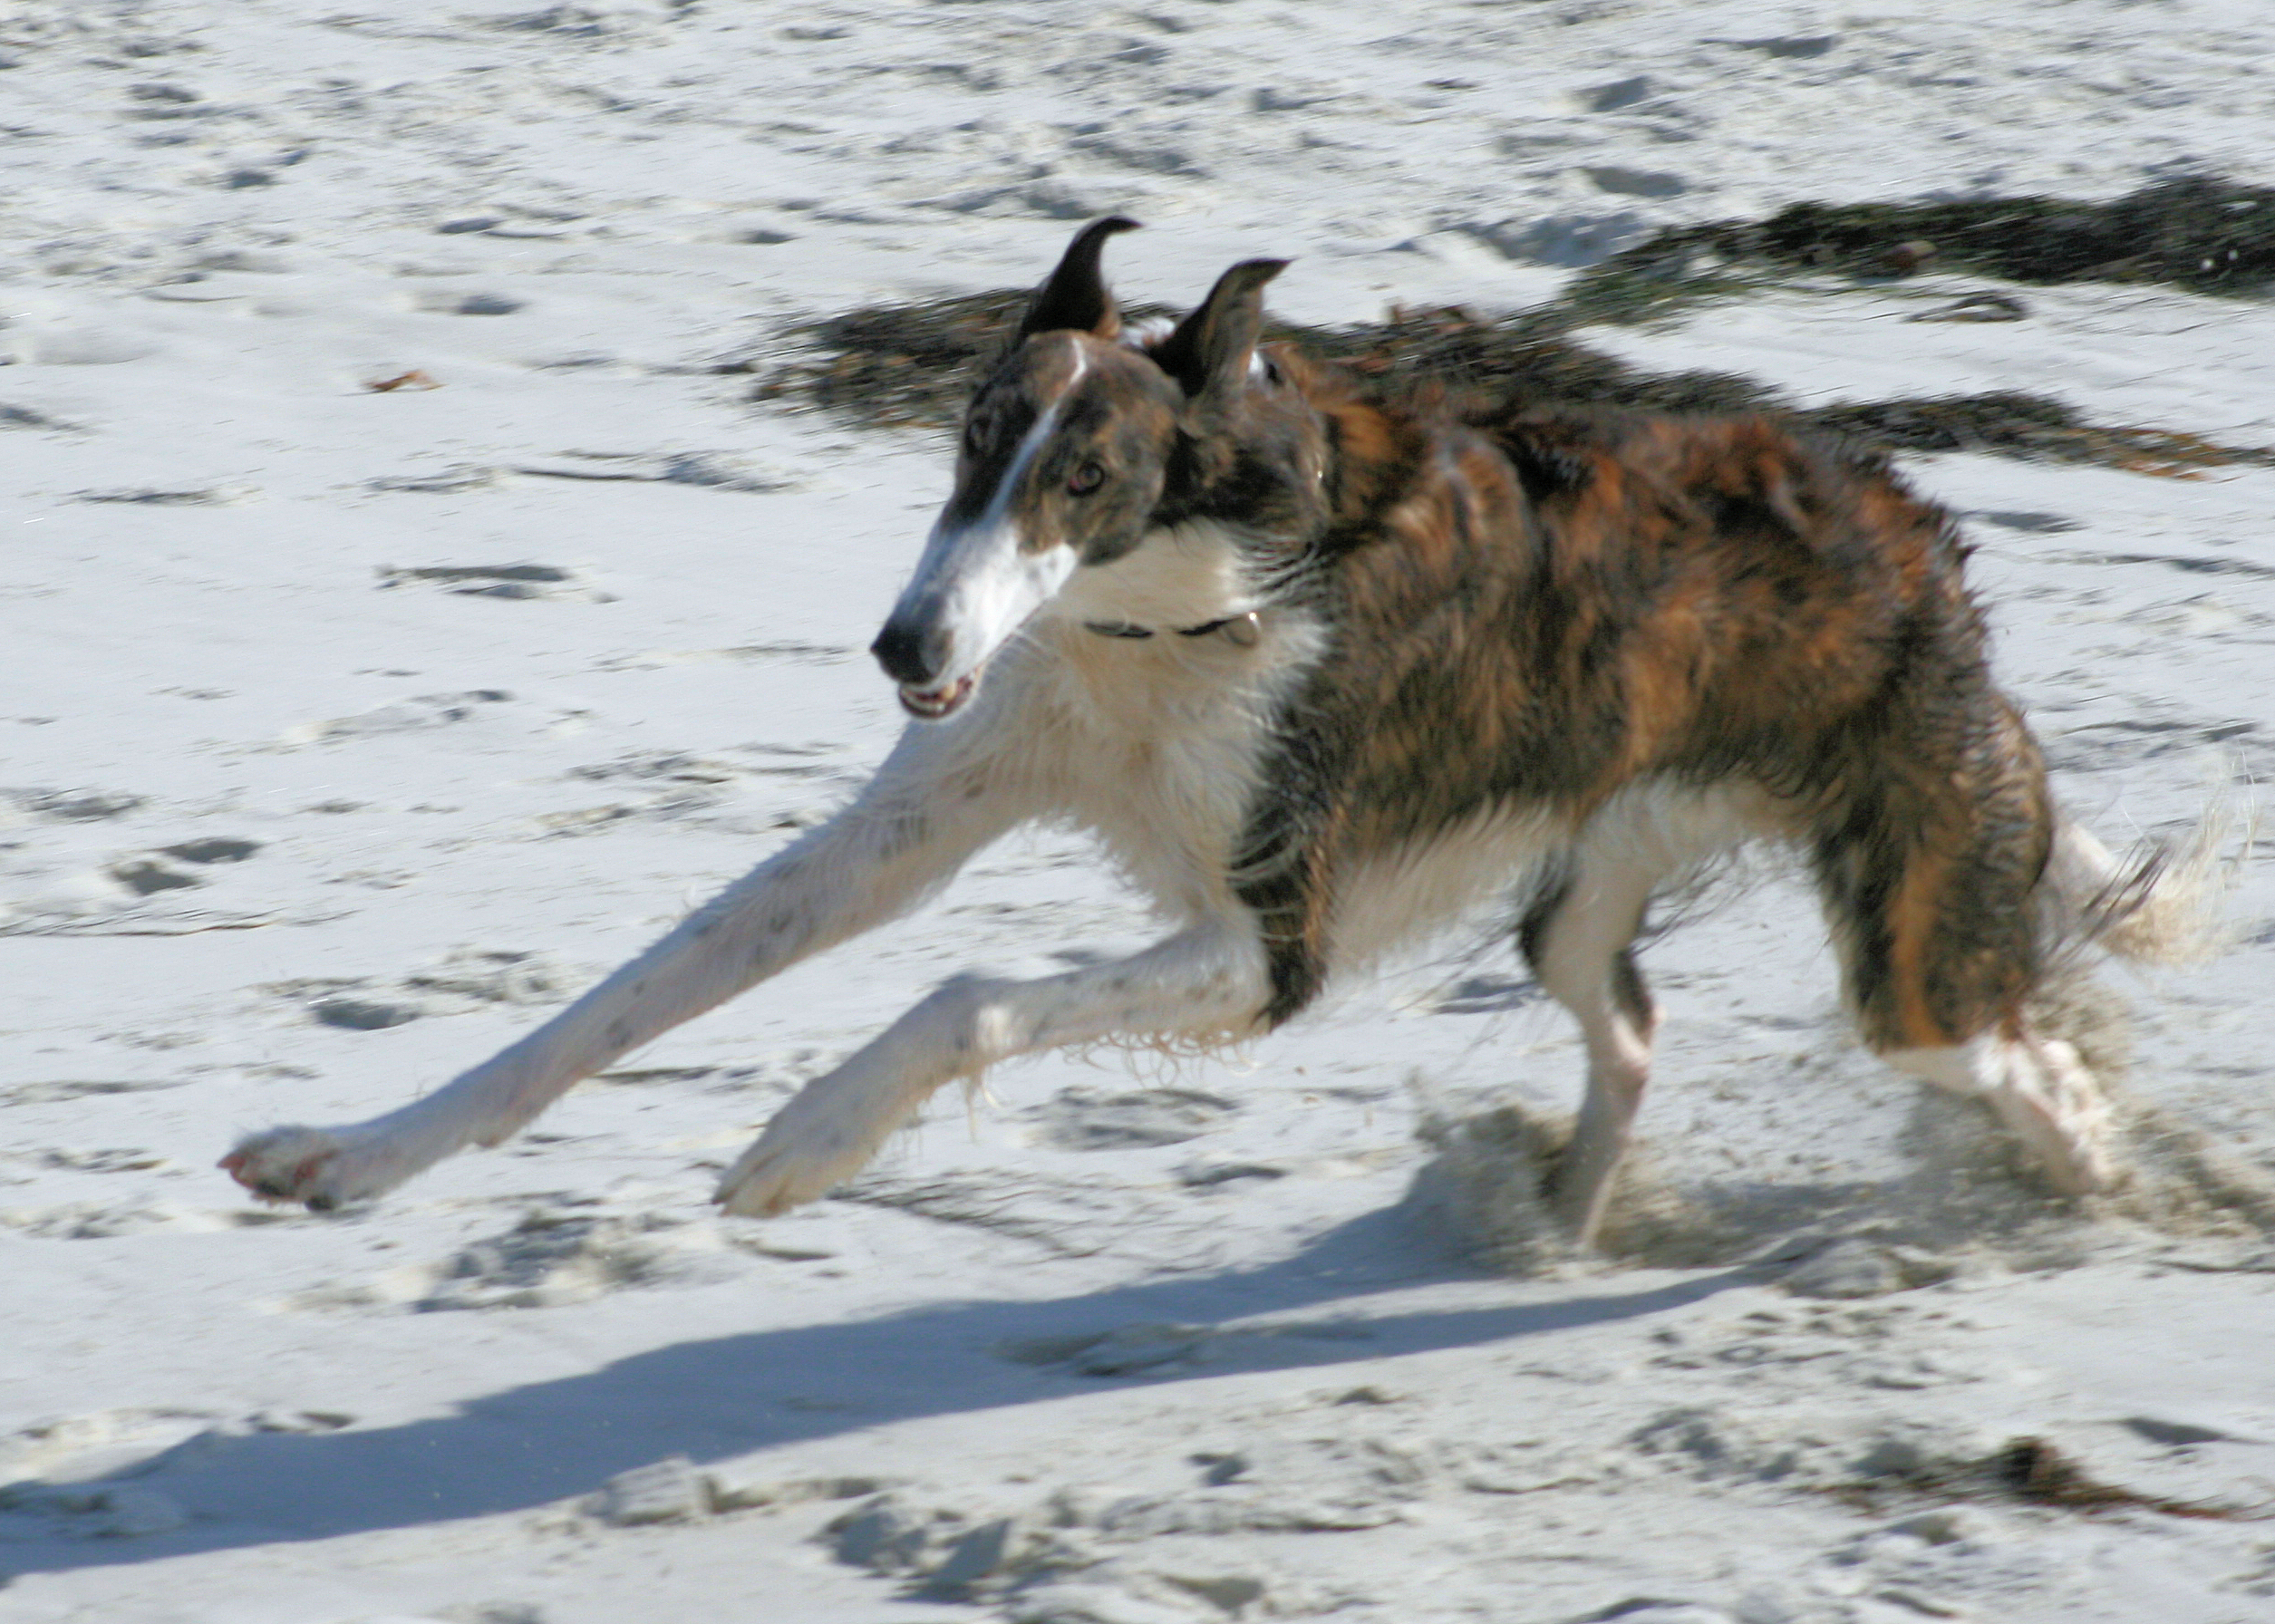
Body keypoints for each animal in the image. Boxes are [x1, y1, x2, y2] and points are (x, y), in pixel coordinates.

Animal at [226, 221, 2183, 1246]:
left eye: (1082, 476)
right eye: (968, 441)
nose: (906, 643)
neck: (1170, 612)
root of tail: (1920, 538)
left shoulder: (1267, 946)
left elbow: (963, 994)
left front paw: (802, 1139)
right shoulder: (933, 804)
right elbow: (626, 993)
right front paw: (349, 1154)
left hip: (1910, 944)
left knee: (2036, 1068)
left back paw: (2100, 1203)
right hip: (1582, 877)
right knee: (1625, 1026)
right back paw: (1554, 1220)